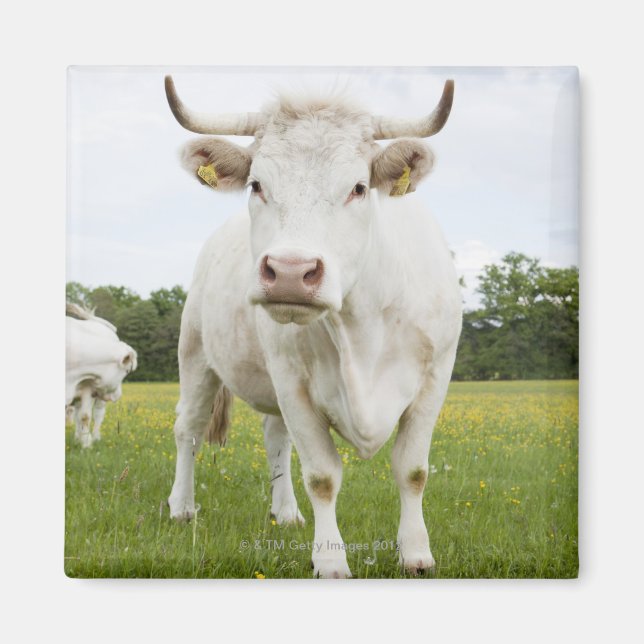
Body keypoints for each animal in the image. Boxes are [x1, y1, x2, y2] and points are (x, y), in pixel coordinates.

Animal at [65, 303, 138, 447]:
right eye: (127, 371)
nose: (117, 395)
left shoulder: (87, 388)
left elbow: (85, 416)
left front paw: (86, 445)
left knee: (97, 414)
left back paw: (95, 437)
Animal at [164, 75, 462, 578]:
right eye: (256, 184)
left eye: (359, 187)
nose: (289, 272)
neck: (362, 328)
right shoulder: (292, 382)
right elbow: (322, 476)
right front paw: (330, 559)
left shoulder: (434, 378)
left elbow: (413, 470)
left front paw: (416, 553)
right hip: (196, 354)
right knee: (189, 427)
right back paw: (182, 507)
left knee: (275, 439)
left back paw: (285, 512)